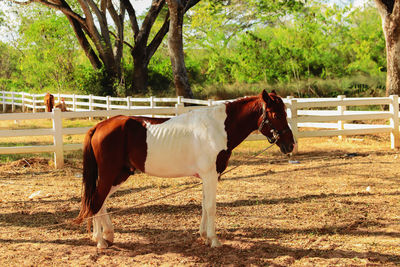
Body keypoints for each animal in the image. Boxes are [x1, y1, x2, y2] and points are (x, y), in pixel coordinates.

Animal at [74, 90, 294, 249]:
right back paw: (100, 241)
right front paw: (214, 240)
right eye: (277, 114)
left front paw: (204, 236)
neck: (217, 128)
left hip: (120, 175)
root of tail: (99, 126)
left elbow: (204, 205)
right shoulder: (210, 175)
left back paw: (106, 235)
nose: (290, 144)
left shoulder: (208, 176)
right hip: (109, 174)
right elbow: (211, 207)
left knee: (101, 201)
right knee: (96, 201)